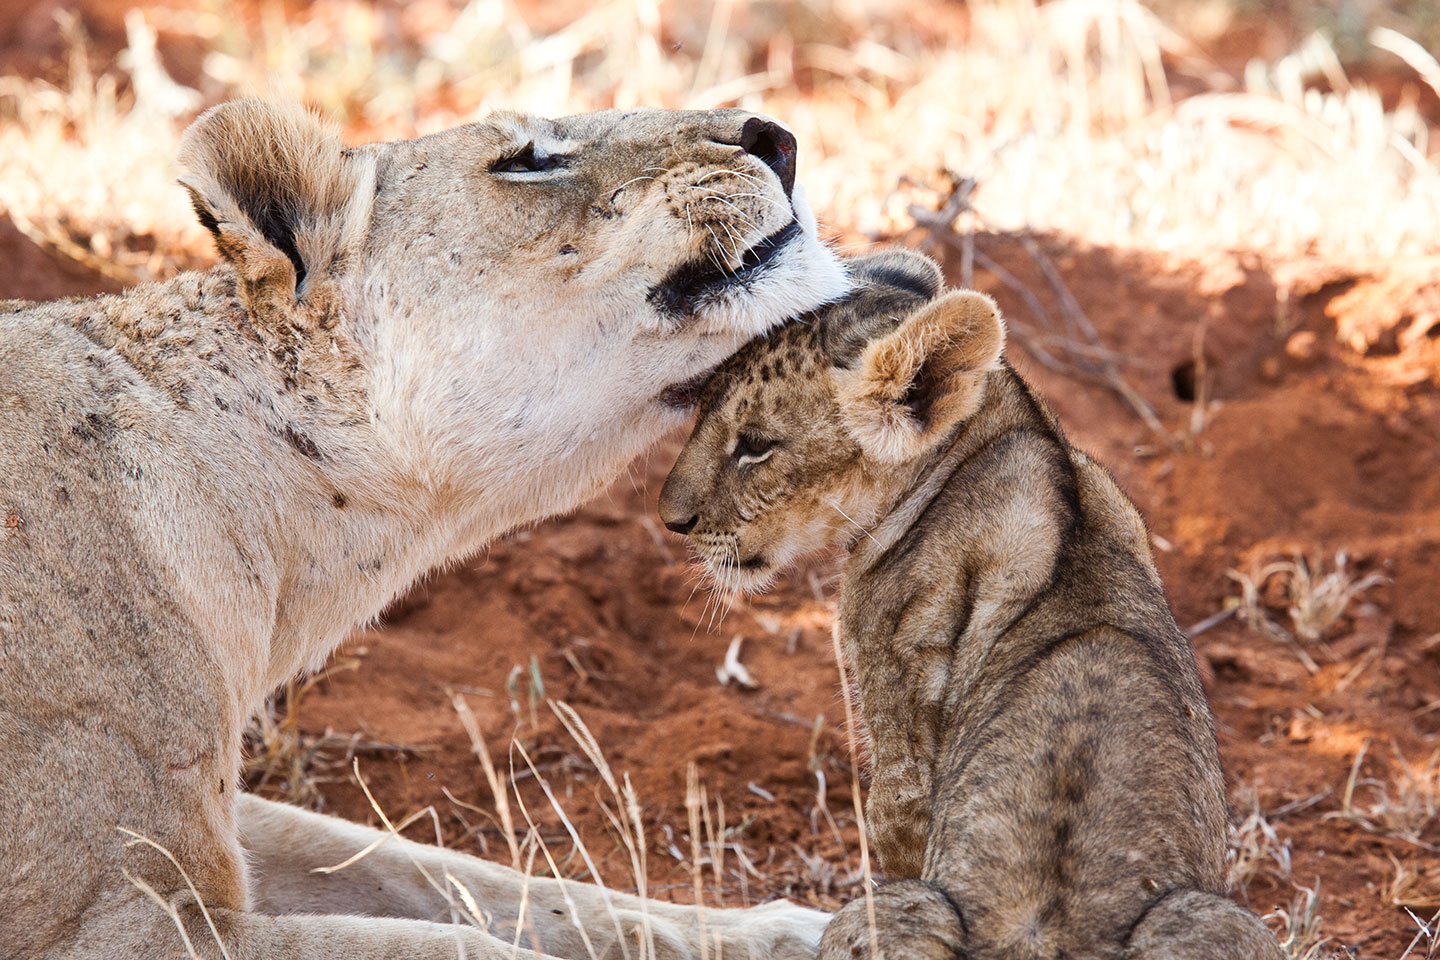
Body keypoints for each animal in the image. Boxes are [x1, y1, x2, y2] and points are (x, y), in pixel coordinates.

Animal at [0, 99, 848, 959]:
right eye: (523, 159)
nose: (778, 139)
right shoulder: (122, 919)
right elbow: (458, 941)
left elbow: (479, 880)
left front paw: (799, 930)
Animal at [658, 250, 1283, 960]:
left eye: (756, 445)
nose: (671, 520)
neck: (1007, 434)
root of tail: (1045, 941)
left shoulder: (895, 708)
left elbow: (899, 818)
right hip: (1220, 919)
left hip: (880, 913)